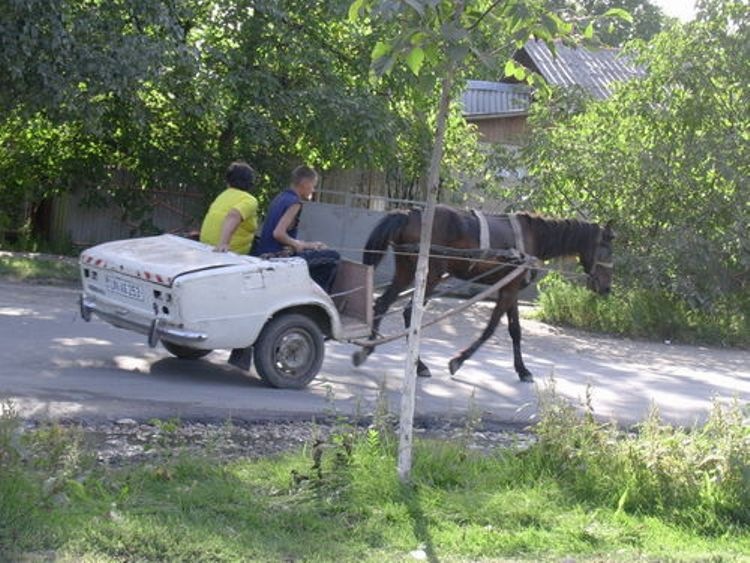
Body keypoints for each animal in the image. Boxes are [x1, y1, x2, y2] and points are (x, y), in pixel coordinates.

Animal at [354, 206, 616, 384]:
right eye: (606, 247)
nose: (606, 287)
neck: (533, 237)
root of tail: (410, 213)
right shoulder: (508, 290)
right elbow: (491, 329)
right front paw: (458, 361)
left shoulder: (510, 290)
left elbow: (515, 331)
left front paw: (522, 370)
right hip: (430, 276)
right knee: (410, 313)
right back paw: (418, 365)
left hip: (406, 271)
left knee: (382, 304)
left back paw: (368, 350)